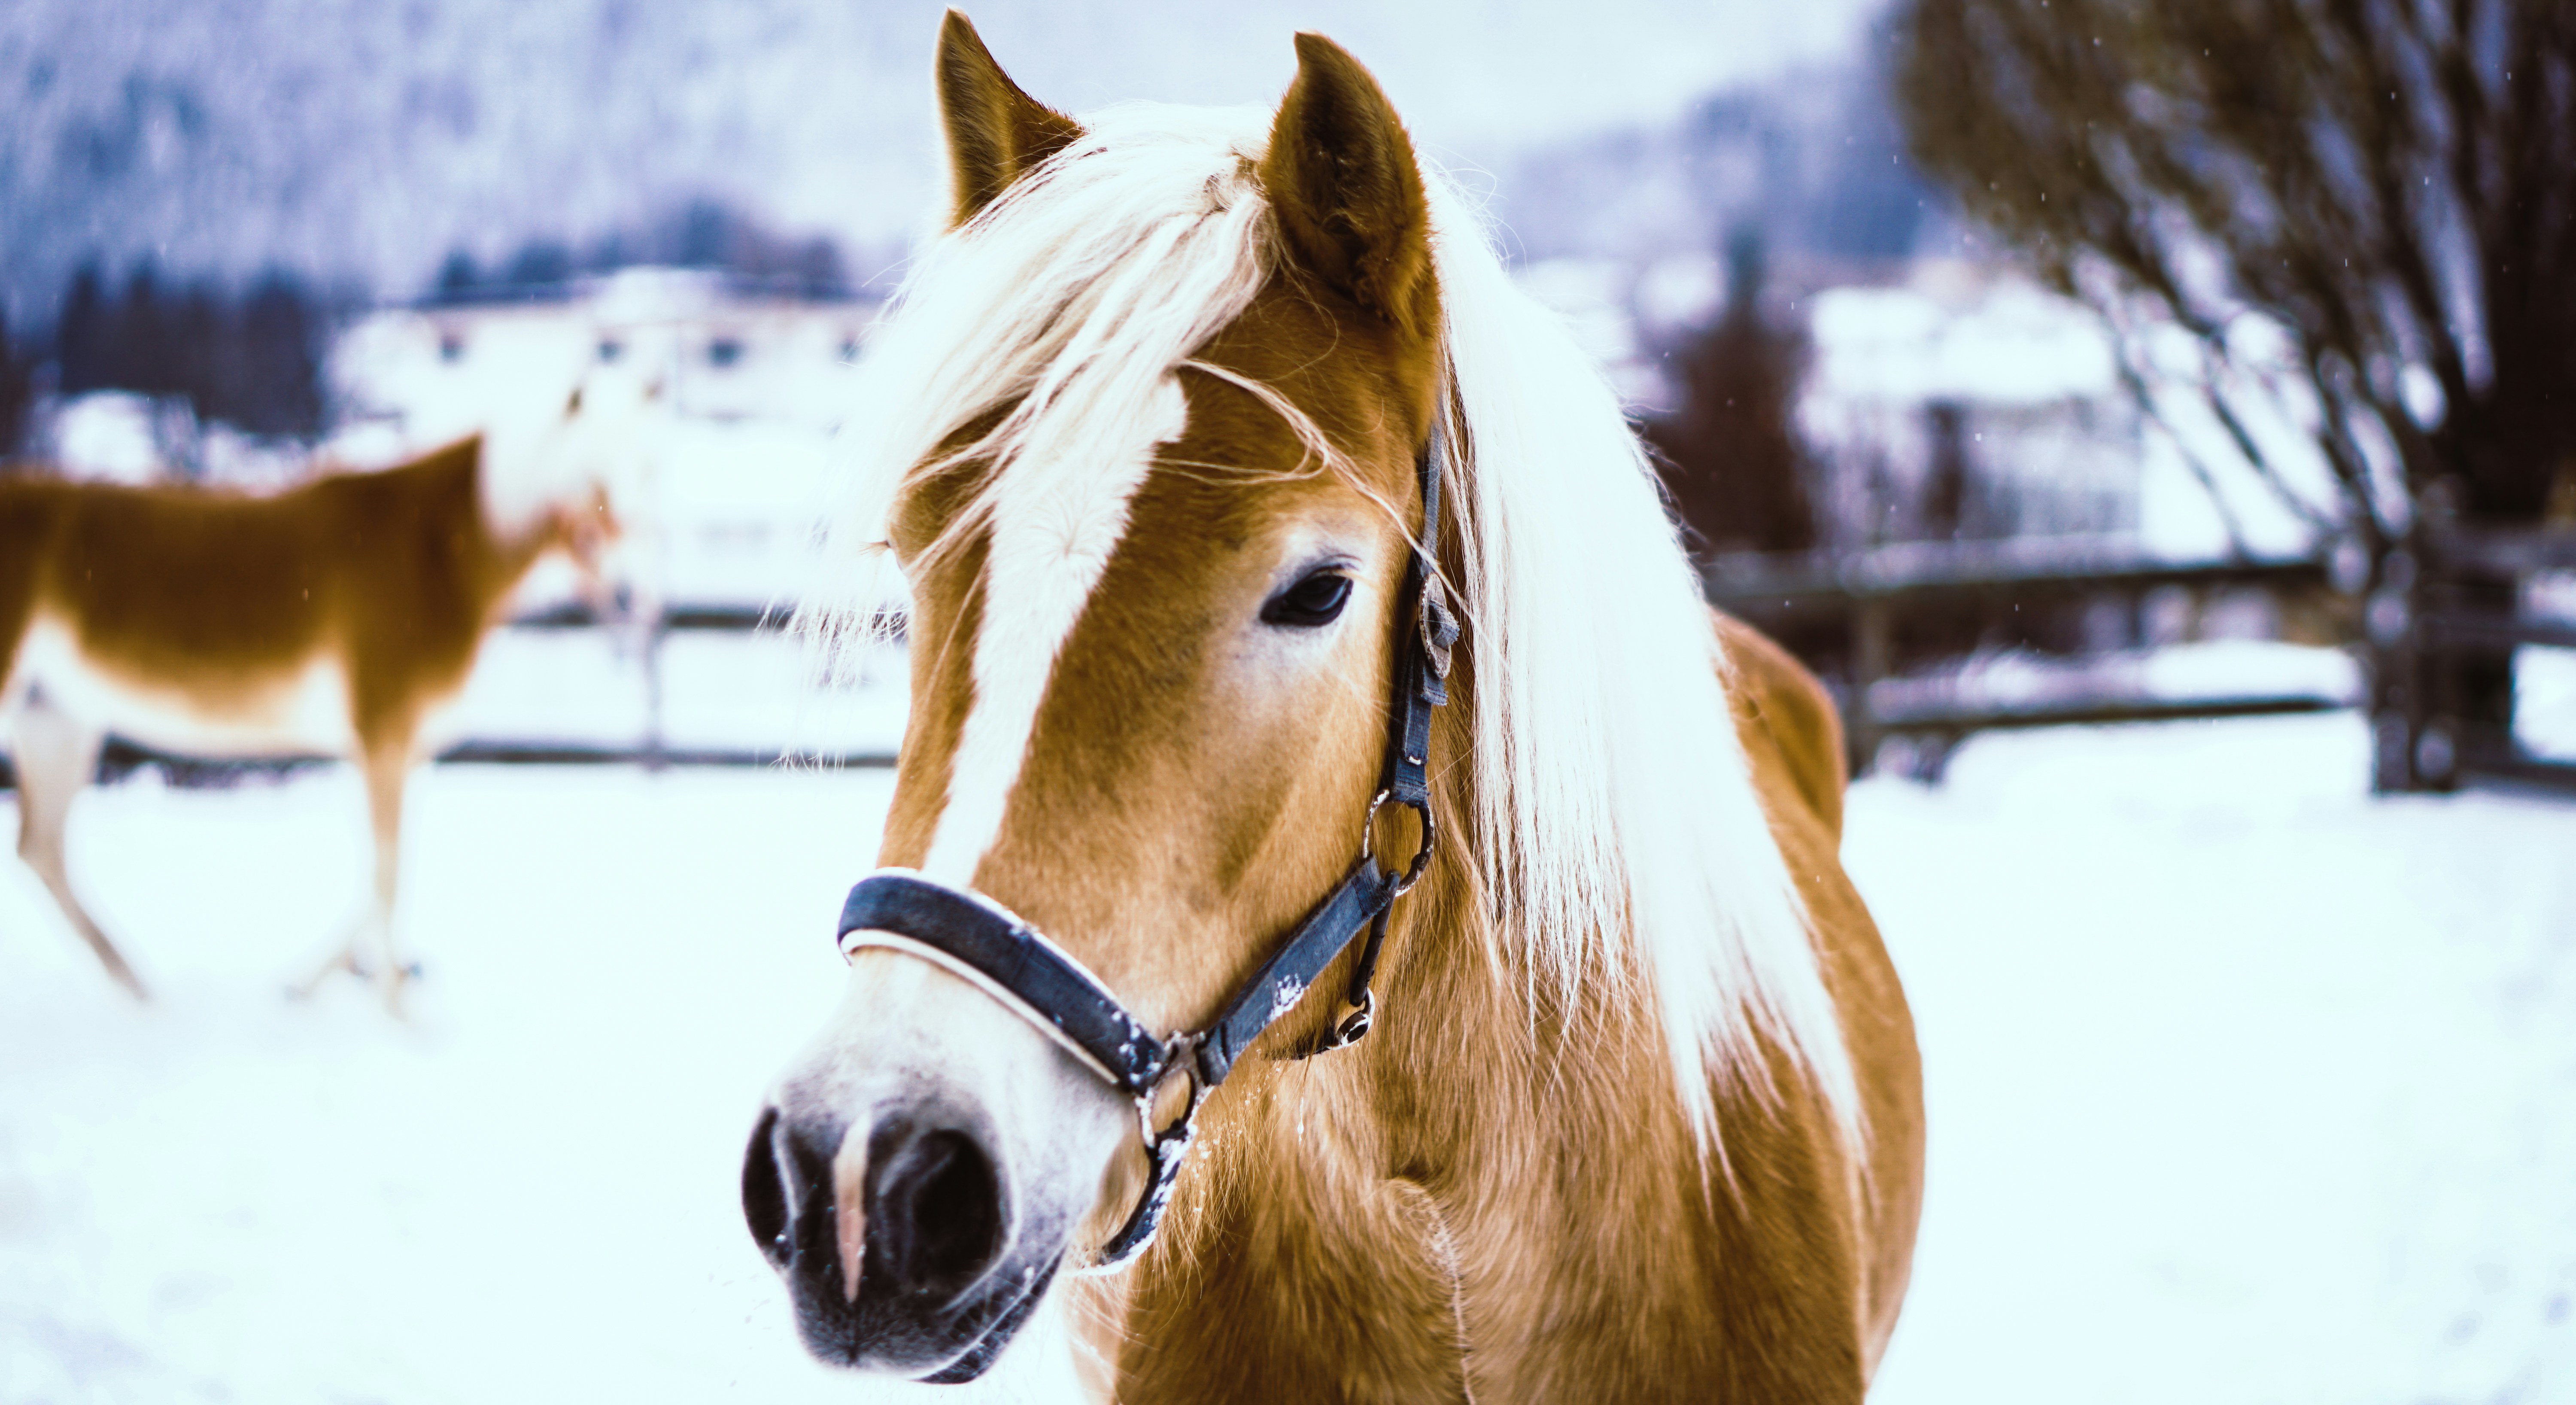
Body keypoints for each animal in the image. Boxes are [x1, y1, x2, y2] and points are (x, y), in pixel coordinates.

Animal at [0, 374, 654, 1007]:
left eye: (643, 475)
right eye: (590, 480)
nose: (630, 595)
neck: (435, 556)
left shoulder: (408, 746)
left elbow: (381, 877)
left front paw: (309, 986)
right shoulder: (383, 733)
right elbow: (388, 875)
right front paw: (400, 1013)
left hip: (55, 719)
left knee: (41, 849)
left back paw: (141, 992)